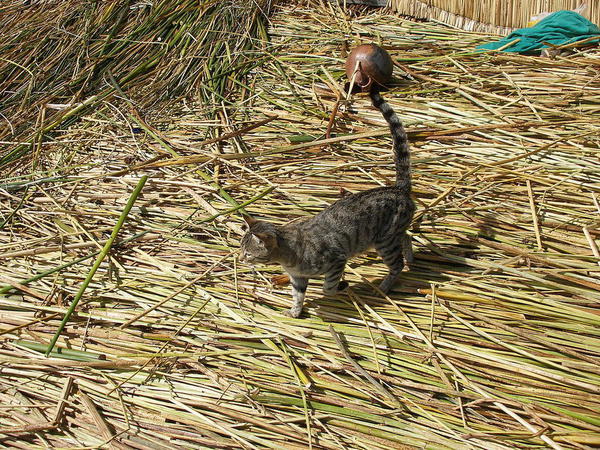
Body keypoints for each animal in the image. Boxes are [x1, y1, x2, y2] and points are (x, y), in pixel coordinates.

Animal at [238, 88, 412, 318]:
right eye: (241, 249)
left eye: (248, 253)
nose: (240, 259)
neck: (288, 256)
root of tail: (398, 188)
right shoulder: (298, 278)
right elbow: (298, 296)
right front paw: (295, 312)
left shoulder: (336, 260)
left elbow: (327, 288)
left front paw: (342, 286)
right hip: (389, 238)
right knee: (407, 237)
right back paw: (411, 258)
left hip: (385, 242)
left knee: (397, 264)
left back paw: (384, 286)